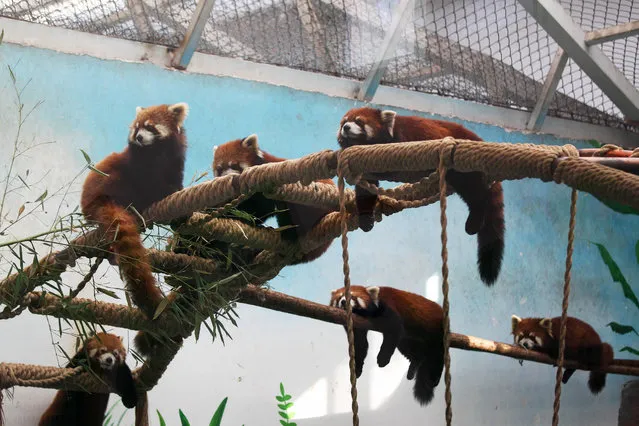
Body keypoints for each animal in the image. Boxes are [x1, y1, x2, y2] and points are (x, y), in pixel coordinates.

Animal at [79, 101, 188, 354]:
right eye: (137, 127)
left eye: (150, 126)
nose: (138, 137)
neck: (155, 152)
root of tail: (92, 203)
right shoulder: (138, 166)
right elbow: (151, 183)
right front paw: (161, 193)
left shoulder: (174, 162)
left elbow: (174, 180)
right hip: (111, 181)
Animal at [338, 106, 508, 286]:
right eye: (344, 122)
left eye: (358, 121)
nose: (346, 127)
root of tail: (476, 138)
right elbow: (366, 192)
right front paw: (366, 218)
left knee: (474, 192)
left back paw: (474, 219)